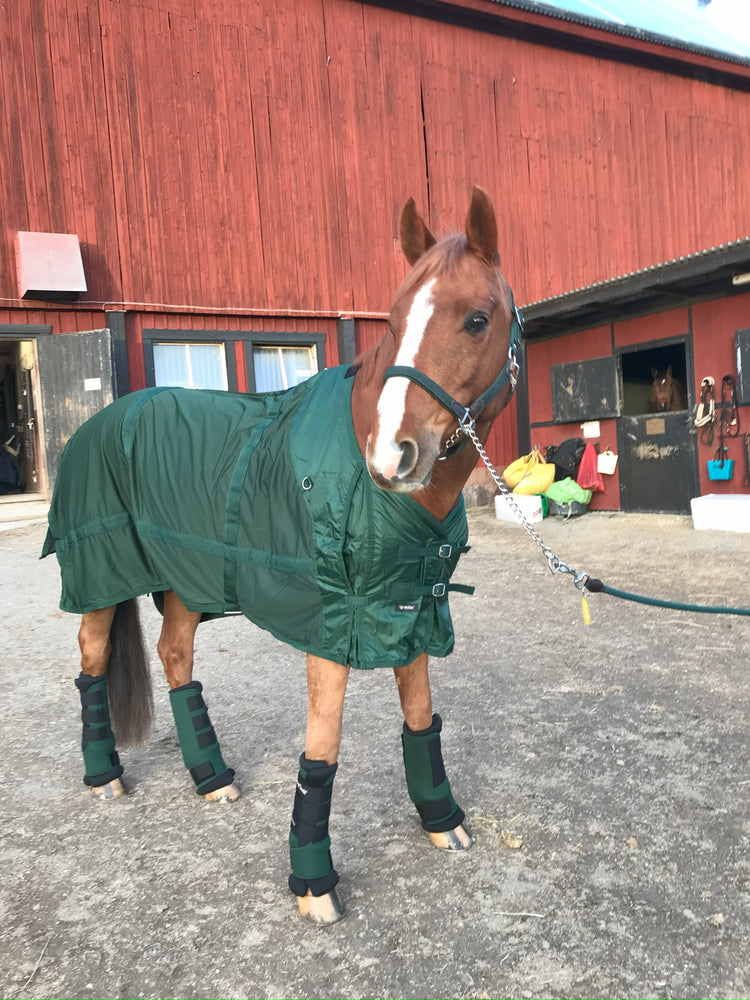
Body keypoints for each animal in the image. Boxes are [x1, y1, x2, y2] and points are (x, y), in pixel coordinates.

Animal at [48, 186, 524, 920]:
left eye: (477, 319)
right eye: (393, 321)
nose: (393, 454)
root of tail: (100, 420)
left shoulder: (410, 607)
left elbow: (420, 718)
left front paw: (441, 820)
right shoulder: (333, 624)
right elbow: (321, 749)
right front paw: (313, 883)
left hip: (189, 580)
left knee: (175, 656)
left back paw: (210, 776)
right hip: (103, 575)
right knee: (92, 661)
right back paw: (104, 775)